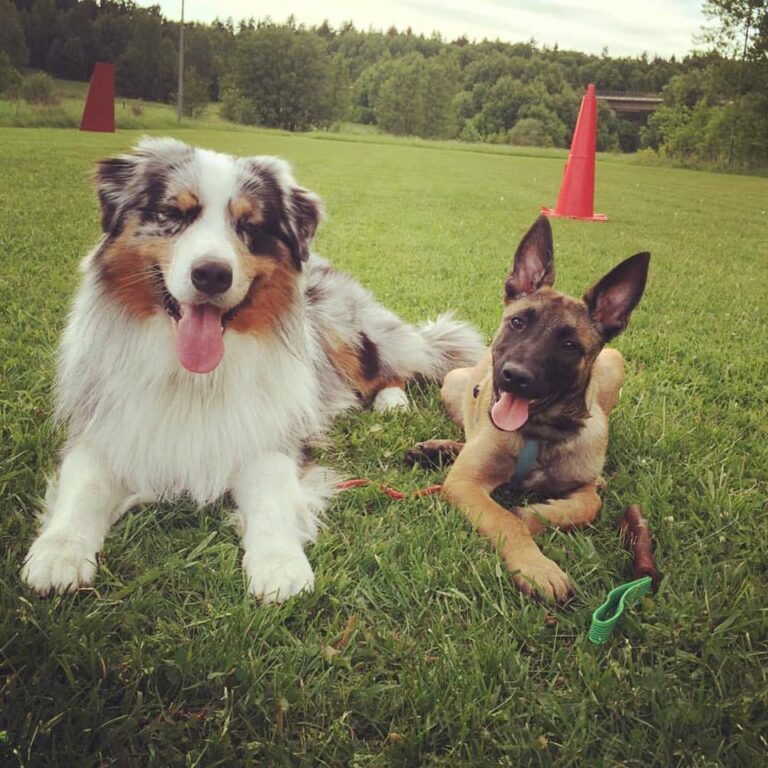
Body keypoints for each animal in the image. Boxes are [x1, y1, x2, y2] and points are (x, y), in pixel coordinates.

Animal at [22, 141, 480, 604]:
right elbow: (83, 486)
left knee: (388, 366)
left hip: (344, 331)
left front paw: (279, 565)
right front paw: (58, 554)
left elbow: (270, 498)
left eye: (250, 225)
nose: (211, 274)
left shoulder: (268, 436)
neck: (194, 376)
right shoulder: (105, 426)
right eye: (173, 213)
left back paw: (392, 401)